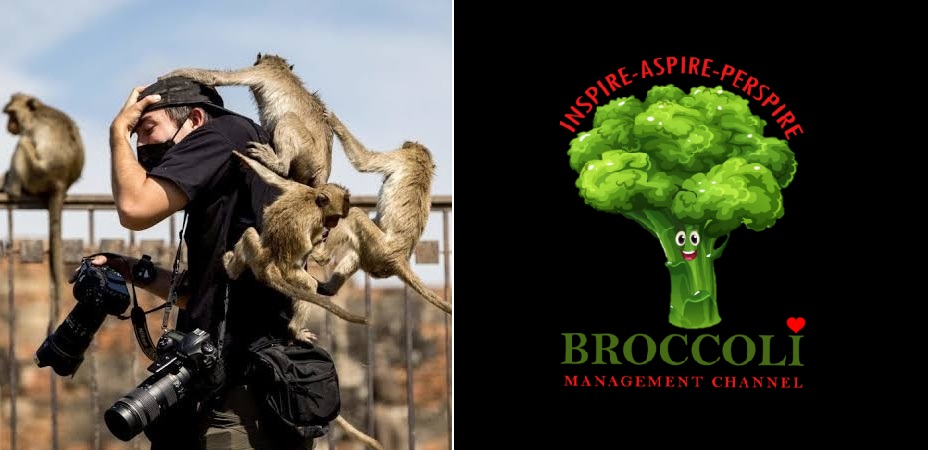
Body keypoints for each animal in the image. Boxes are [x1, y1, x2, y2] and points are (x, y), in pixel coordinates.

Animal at [159, 53, 332, 188]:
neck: (280, 67)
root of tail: (323, 169)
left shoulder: (263, 71)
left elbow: (217, 78)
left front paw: (169, 74)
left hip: (307, 150)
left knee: (288, 119)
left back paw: (278, 164)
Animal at [222, 148, 367, 344]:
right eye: (334, 218)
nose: (333, 225)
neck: (314, 200)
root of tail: (269, 266)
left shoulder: (299, 188)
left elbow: (272, 178)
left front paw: (248, 161)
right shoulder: (315, 218)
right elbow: (309, 249)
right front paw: (319, 241)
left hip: (257, 256)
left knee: (249, 234)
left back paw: (231, 270)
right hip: (285, 272)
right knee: (308, 285)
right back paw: (294, 330)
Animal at [313, 111, 452, 315]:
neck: (422, 162)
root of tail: (399, 259)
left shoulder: (400, 157)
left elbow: (365, 161)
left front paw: (334, 120)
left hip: (380, 249)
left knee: (354, 215)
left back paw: (320, 256)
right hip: (376, 256)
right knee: (358, 247)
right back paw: (328, 288)